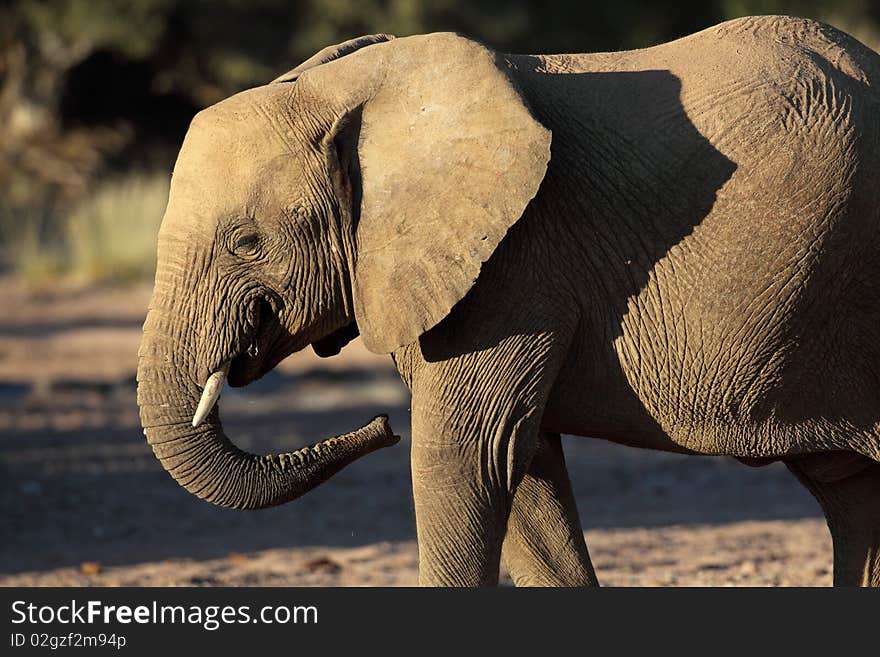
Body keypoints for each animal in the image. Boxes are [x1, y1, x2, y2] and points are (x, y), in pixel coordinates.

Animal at [136, 15, 880, 588]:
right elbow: (521, 466)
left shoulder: (517, 264)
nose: (382, 423)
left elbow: (471, 454)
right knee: (852, 492)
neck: (355, 89)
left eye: (246, 241)